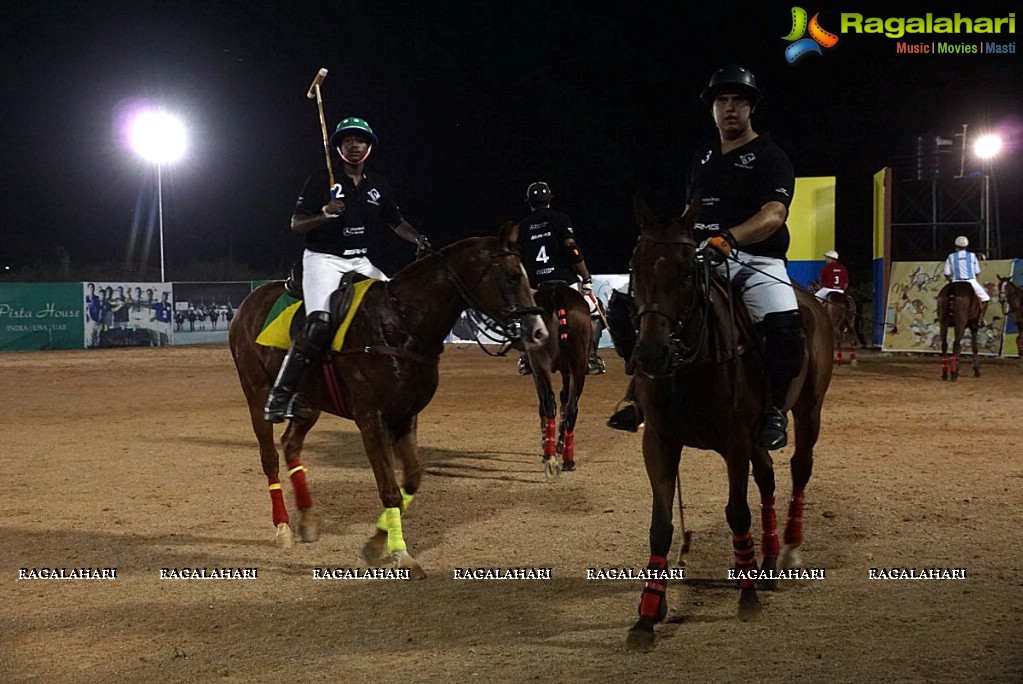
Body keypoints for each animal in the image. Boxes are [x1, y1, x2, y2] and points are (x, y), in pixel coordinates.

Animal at [228, 223, 548, 576]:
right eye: (511, 278)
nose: (538, 332)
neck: (400, 324)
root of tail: (247, 303)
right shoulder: (372, 419)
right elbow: (390, 489)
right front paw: (400, 553)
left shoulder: (406, 415)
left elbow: (412, 480)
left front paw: (377, 542)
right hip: (256, 393)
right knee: (270, 456)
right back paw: (283, 527)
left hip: (310, 403)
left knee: (292, 446)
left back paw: (308, 519)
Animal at [527, 280, 593, 478]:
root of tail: (557, 293)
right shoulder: (567, 371)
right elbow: (564, 399)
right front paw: (560, 443)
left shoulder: (536, 370)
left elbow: (543, 403)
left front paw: (546, 441)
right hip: (579, 365)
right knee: (572, 408)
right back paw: (568, 459)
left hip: (539, 361)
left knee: (549, 401)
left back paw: (548, 455)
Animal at [621, 200, 830, 650]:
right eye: (635, 267)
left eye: (687, 271)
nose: (650, 355)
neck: (690, 362)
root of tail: (812, 302)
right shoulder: (660, 443)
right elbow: (660, 527)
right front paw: (647, 614)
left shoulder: (734, 443)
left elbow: (737, 512)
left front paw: (747, 599)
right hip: (756, 438)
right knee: (767, 479)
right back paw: (766, 559)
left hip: (808, 411)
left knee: (799, 468)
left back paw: (788, 551)